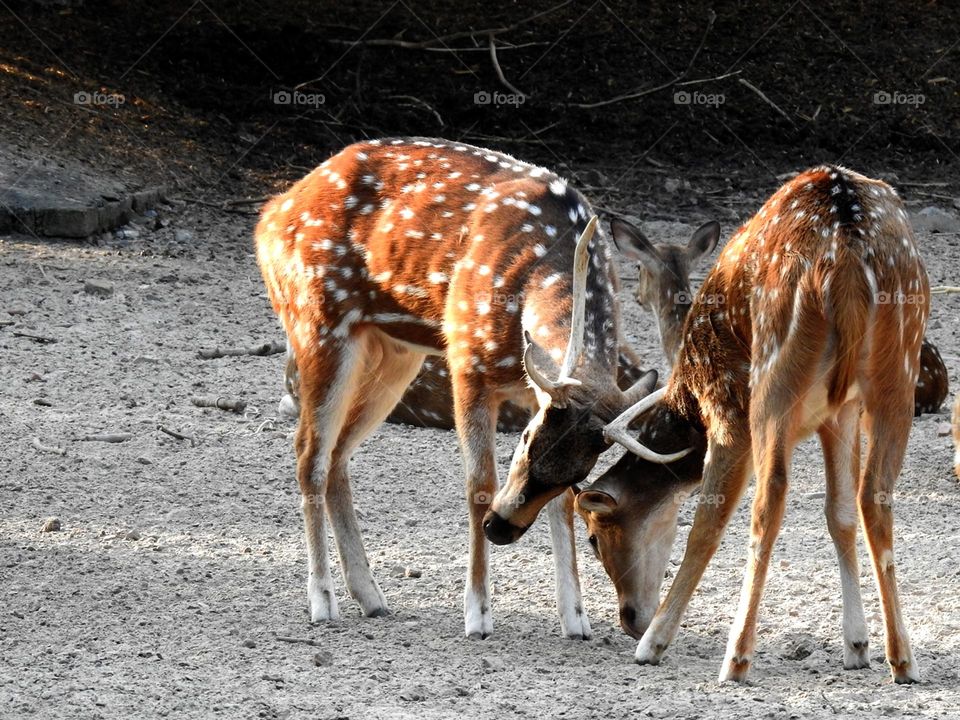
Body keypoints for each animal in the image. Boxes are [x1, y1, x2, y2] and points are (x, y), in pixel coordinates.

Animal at [253, 138, 668, 640]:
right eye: (524, 441)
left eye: (579, 471)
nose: (502, 529)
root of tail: (270, 214)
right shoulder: (467, 360)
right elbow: (478, 485)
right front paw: (477, 614)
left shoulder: (532, 389)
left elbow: (563, 506)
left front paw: (576, 619)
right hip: (318, 323)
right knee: (309, 453)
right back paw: (322, 600)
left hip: (394, 352)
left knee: (336, 456)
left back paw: (371, 597)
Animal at [488, 166, 928, 684]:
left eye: (595, 538)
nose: (630, 620)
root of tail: (847, 246)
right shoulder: (837, 414)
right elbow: (838, 513)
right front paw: (856, 646)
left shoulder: (725, 405)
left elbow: (708, 520)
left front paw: (656, 642)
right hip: (897, 367)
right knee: (874, 494)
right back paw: (903, 658)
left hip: (772, 377)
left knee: (765, 502)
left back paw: (731, 656)